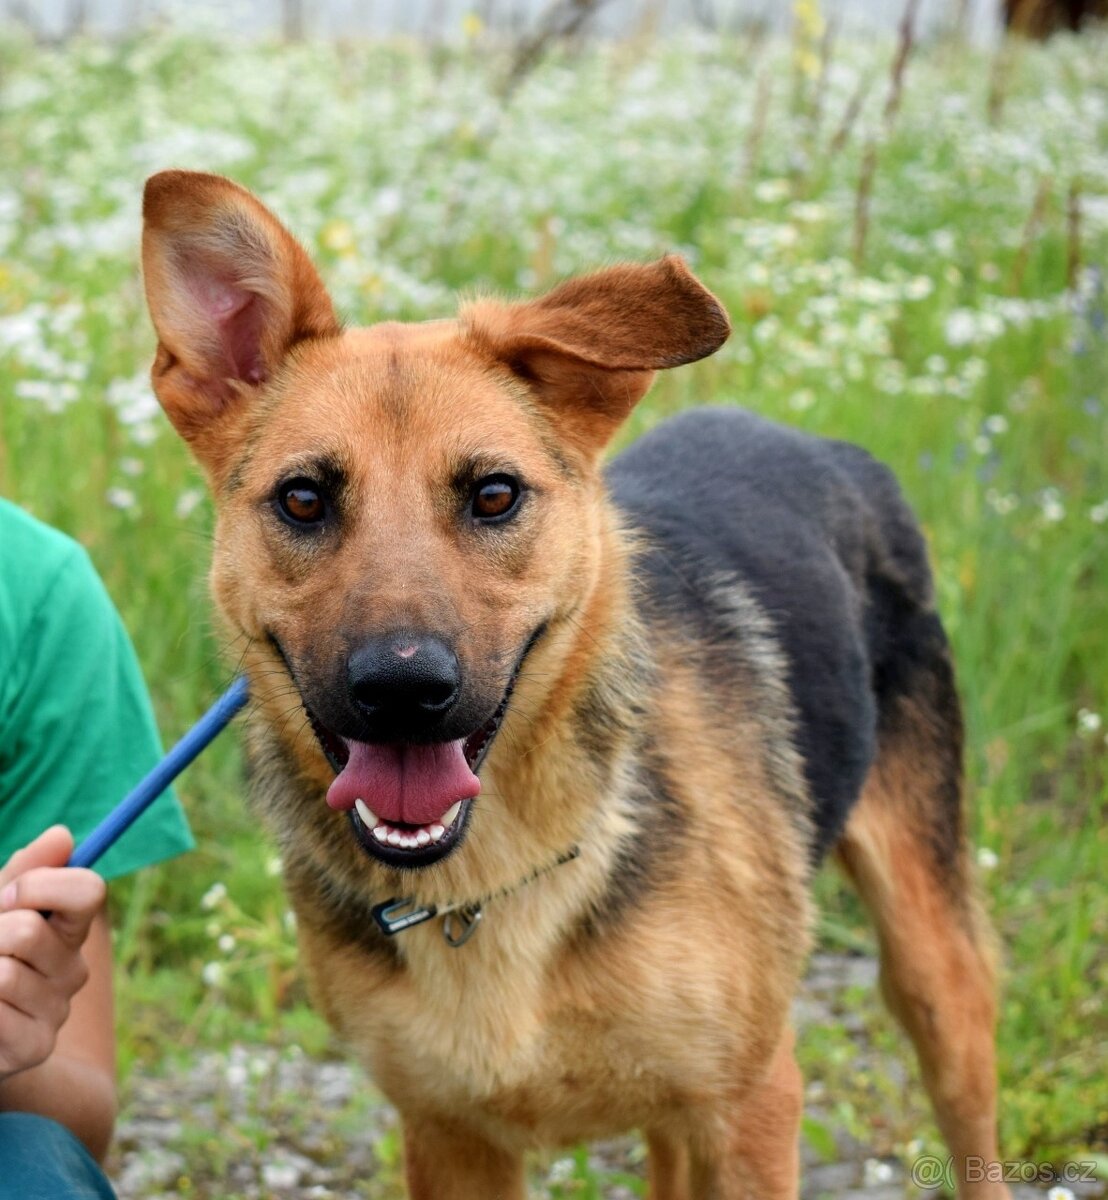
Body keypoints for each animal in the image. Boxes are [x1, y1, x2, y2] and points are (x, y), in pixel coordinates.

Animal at [142, 171, 1008, 1200]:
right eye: (303, 500)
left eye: (495, 495)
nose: (401, 689)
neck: (486, 883)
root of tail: (824, 444)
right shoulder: (450, 1138)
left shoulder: (751, 1106)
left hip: (931, 968)